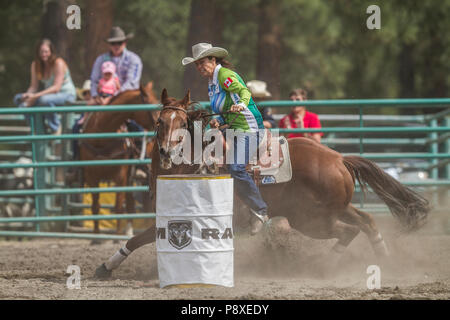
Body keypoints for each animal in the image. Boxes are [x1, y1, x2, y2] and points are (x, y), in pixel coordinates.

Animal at [80, 82, 159, 240]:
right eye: (152, 105)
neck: (101, 136)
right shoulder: (92, 176)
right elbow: (95, 207)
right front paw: (96, 237)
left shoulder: (120, 175)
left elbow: (118, 207)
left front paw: (116, 236)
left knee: (129, 204)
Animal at [94, 89, 428, 278]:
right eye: (159, 122)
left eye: (182, 124)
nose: (166, 151)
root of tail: (338, 158)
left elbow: (139, 238)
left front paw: (105, 267)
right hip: (334, 209)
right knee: (367, 221)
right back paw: (384, 260)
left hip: (311, 219)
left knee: (350, 230)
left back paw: (322, 267)